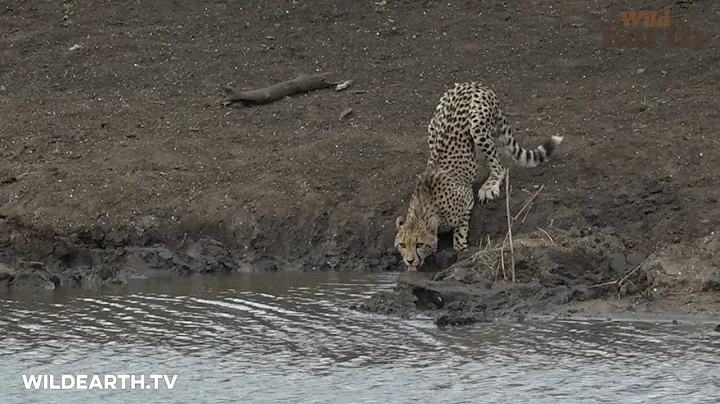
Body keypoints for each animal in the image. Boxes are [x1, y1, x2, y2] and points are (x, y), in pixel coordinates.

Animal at [395, 82, 564, 272]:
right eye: (402, 245)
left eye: (419, 245)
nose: (409, 260)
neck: (424, 208)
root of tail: (472, 83)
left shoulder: (467, 200)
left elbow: (460, 231)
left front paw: (461, 248)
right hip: (432, 125)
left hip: (477, 126)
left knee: (499, 166)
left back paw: (489, 186)